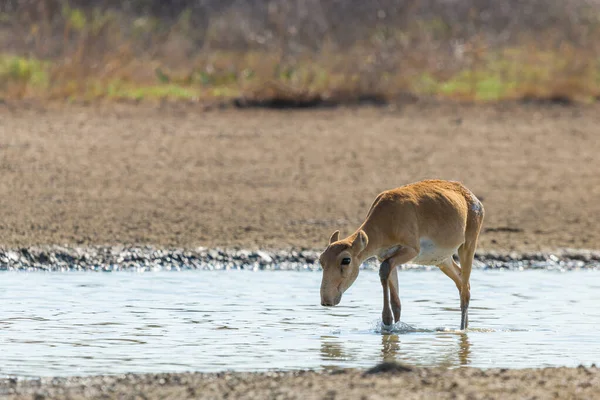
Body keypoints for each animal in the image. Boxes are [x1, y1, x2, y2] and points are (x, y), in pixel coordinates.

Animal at [318, 180, 482, 330]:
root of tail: (474, 199)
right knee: (461, 281)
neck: (387, 220)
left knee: (465, 291)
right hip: (443, 260)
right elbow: (395, 300)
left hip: (468, 245)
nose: (326, 300)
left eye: (346, 260)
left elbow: (384, 270)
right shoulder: (385, 256)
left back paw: (462, 329)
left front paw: (387, 320)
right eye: (321, 260)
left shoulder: (410, 250)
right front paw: (394, 326)